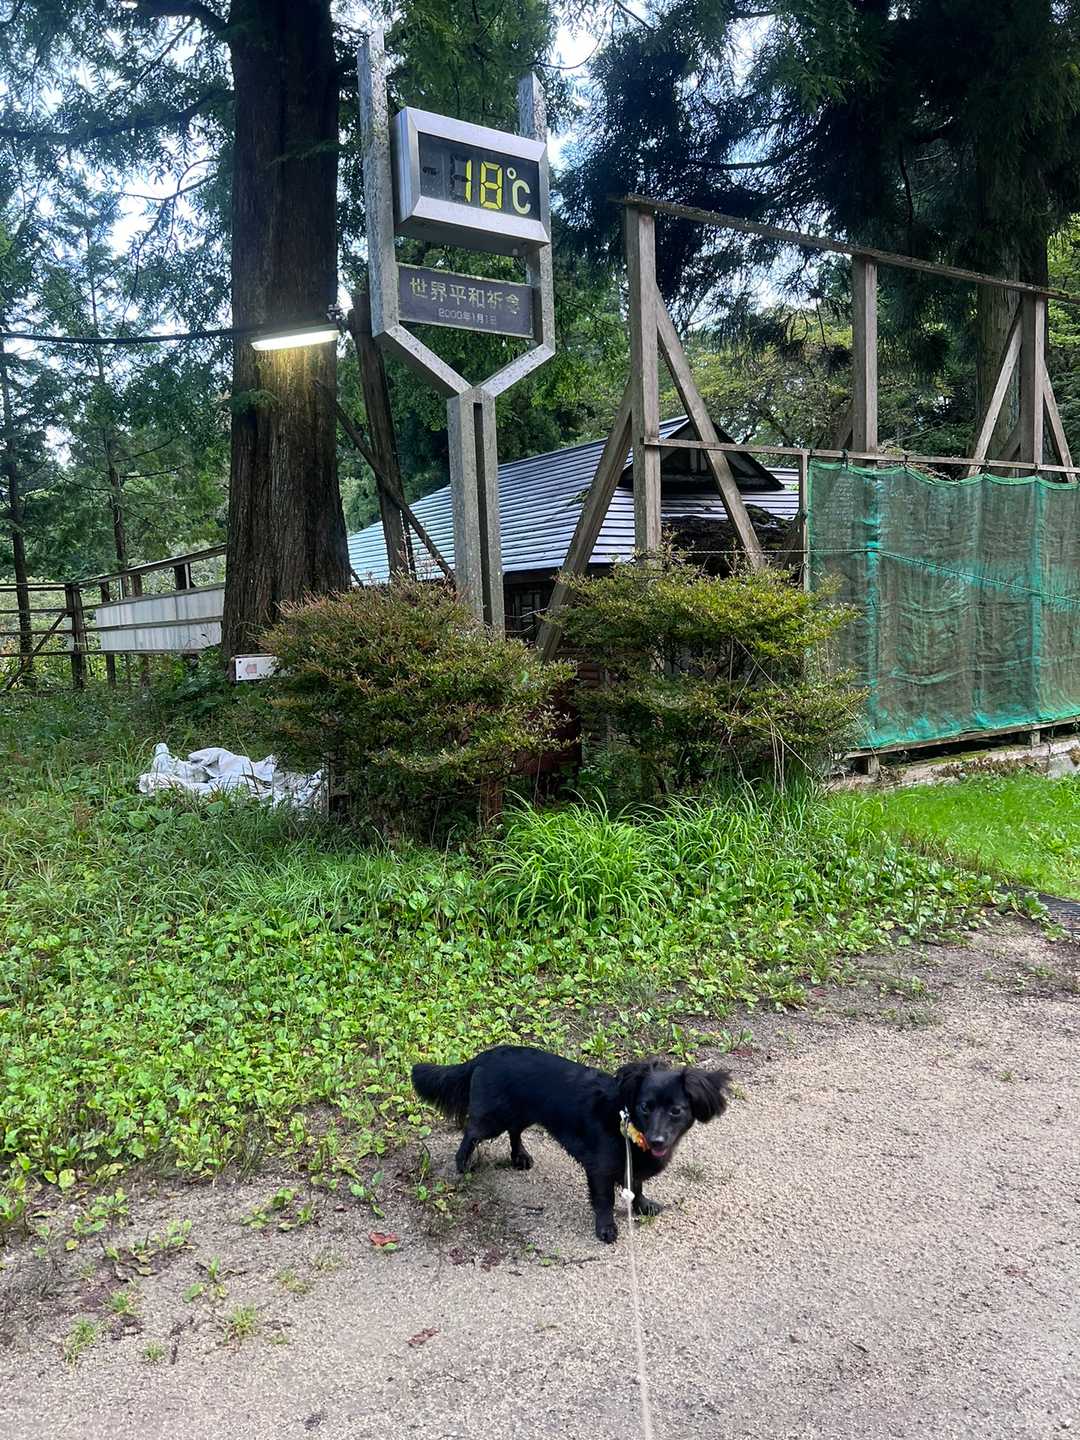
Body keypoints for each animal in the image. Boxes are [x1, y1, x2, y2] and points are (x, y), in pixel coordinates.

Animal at [411, 1044, 731, 1243]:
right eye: (644, 1107)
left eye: (676, 1110)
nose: (657, 1139)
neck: (628, 1128)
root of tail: (485, 1056)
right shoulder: (599, 1170)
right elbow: (605, 1201)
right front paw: (606, 1228)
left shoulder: (631, 1165)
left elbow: (637, 1187)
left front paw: (642, 1206)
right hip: (493, 1119)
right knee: (471, 1132)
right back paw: (462, 1163)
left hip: (523, 1113)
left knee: (514, 1132)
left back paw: (520, 1157)